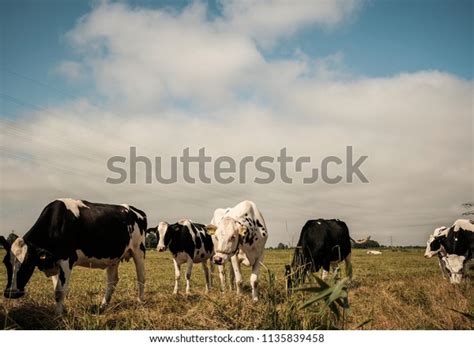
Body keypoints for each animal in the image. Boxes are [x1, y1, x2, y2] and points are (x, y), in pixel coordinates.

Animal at [0, 197, 146, 314]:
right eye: (5, 262)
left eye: (28, 264)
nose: (11, 292)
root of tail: (134, 209)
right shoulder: (54, 262)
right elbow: (57, 289)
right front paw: (60, 311)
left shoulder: (66, 260)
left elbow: (59, 291)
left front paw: (58, 316)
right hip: (113, 258)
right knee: (112, 281)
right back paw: (103, 306)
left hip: (139, 250)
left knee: (141, 278)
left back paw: (140, 302)